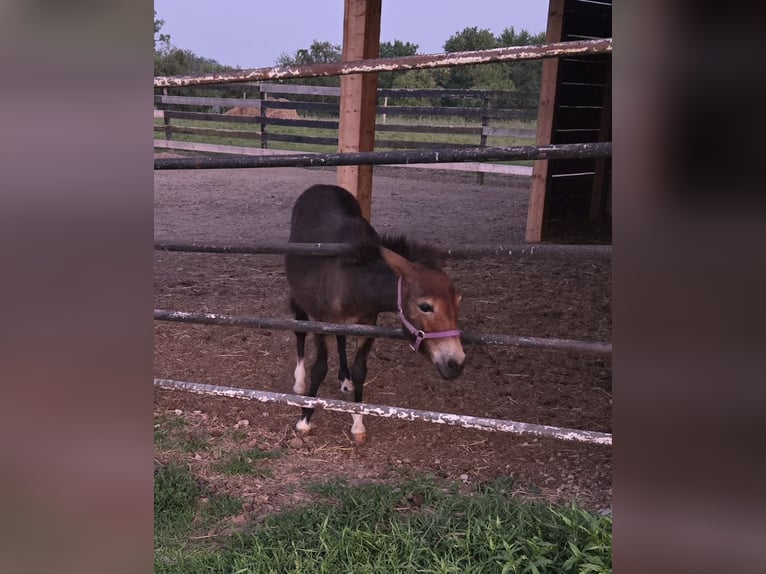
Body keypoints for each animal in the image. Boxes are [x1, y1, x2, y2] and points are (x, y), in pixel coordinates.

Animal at [285, 184, 465, 443]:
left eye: (458, 301)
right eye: (426, 306)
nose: (456, 363)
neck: (353, 283)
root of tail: (321, 186)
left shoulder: (368, 324)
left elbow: (361, 370)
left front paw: (358, 422)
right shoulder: (323, 324)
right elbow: (319, 369)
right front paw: (305, 419)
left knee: (341, 339)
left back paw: (345, 379)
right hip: (299, 297)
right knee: (300, 329)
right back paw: (299, 382)